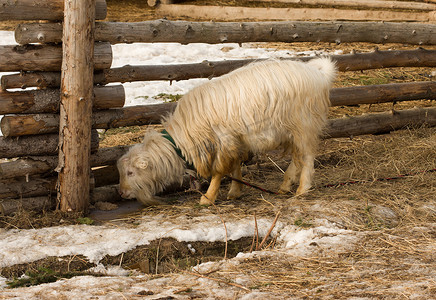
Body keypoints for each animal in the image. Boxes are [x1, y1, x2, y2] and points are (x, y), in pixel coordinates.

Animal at [117, 57, 336, 205]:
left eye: (130, 172)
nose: (122, 193)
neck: (183, 139)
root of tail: (318, 73)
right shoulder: (236, 140)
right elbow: (235, 165)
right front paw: (235, 191)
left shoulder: (223, 140)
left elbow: (219, 170)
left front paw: (208, 197)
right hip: (291, 131)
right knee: (297, 158)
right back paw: (284, 186)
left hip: (304, 125)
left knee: (307, 157)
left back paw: (302, 189)